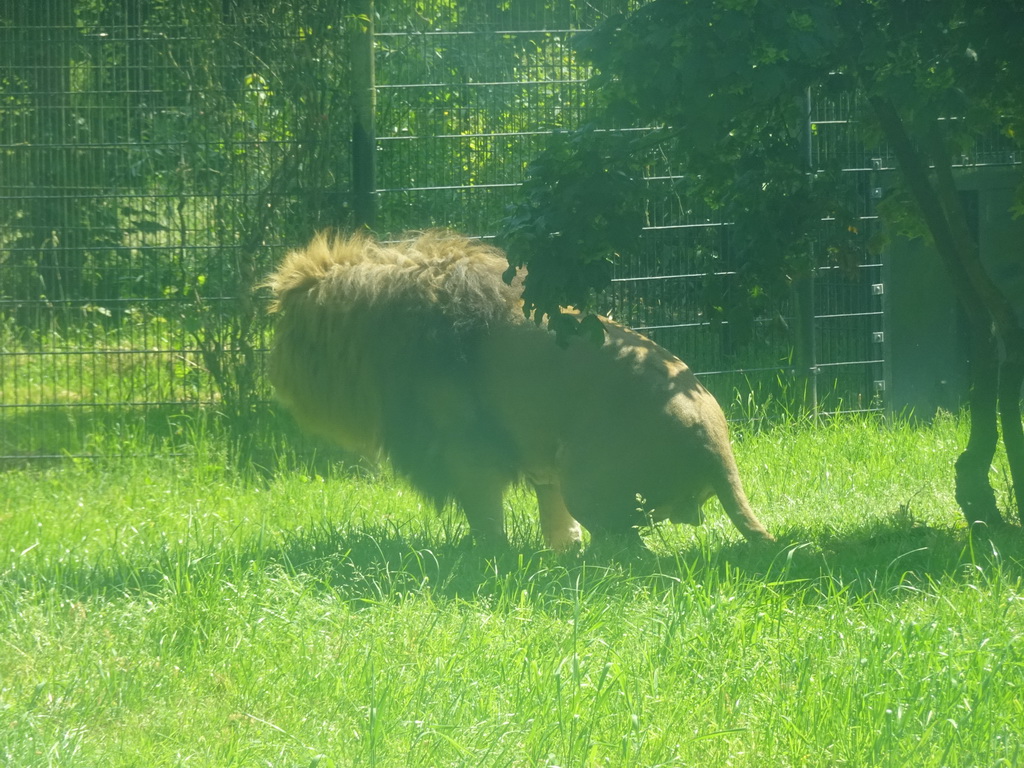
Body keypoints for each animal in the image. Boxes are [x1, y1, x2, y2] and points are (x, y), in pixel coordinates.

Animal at [260, 231, 770, 548]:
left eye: (286, 331)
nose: (274, 371)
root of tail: (714, 440)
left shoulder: (465, 450)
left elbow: (486, 519)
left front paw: (490, 559)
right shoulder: (539, 459)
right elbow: (555, 520)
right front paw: (561, 550)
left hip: (586, 478)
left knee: (632, 555)